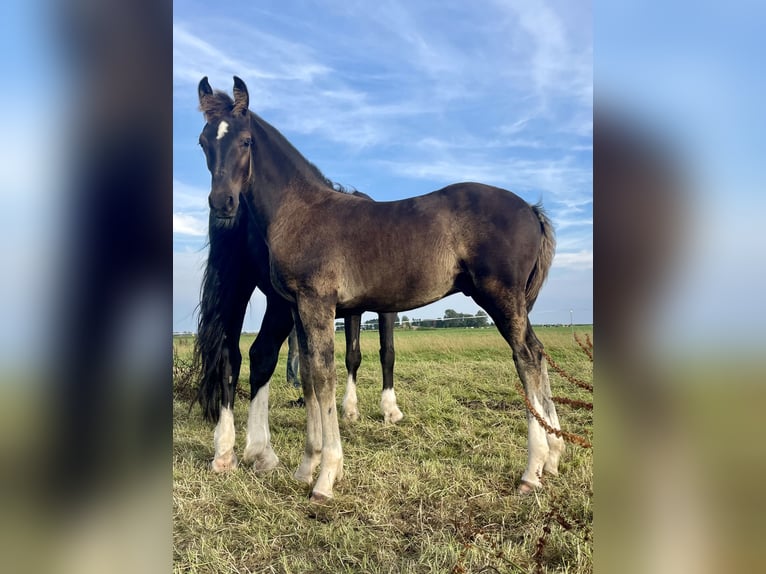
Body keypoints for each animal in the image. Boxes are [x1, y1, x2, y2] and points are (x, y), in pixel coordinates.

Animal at [198, 77, 564, 504]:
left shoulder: (317, 303)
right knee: (538, 352)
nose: (222, 202)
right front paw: (306, 467)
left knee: (526, 358)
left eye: (245, 141)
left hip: (501, 298)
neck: (300, 209)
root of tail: (531, 210)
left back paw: (532, 469)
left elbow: (324, 376)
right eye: (203, 142)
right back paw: (553, 456)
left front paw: (326, 478)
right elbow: (308, 377)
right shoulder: (297, 308)